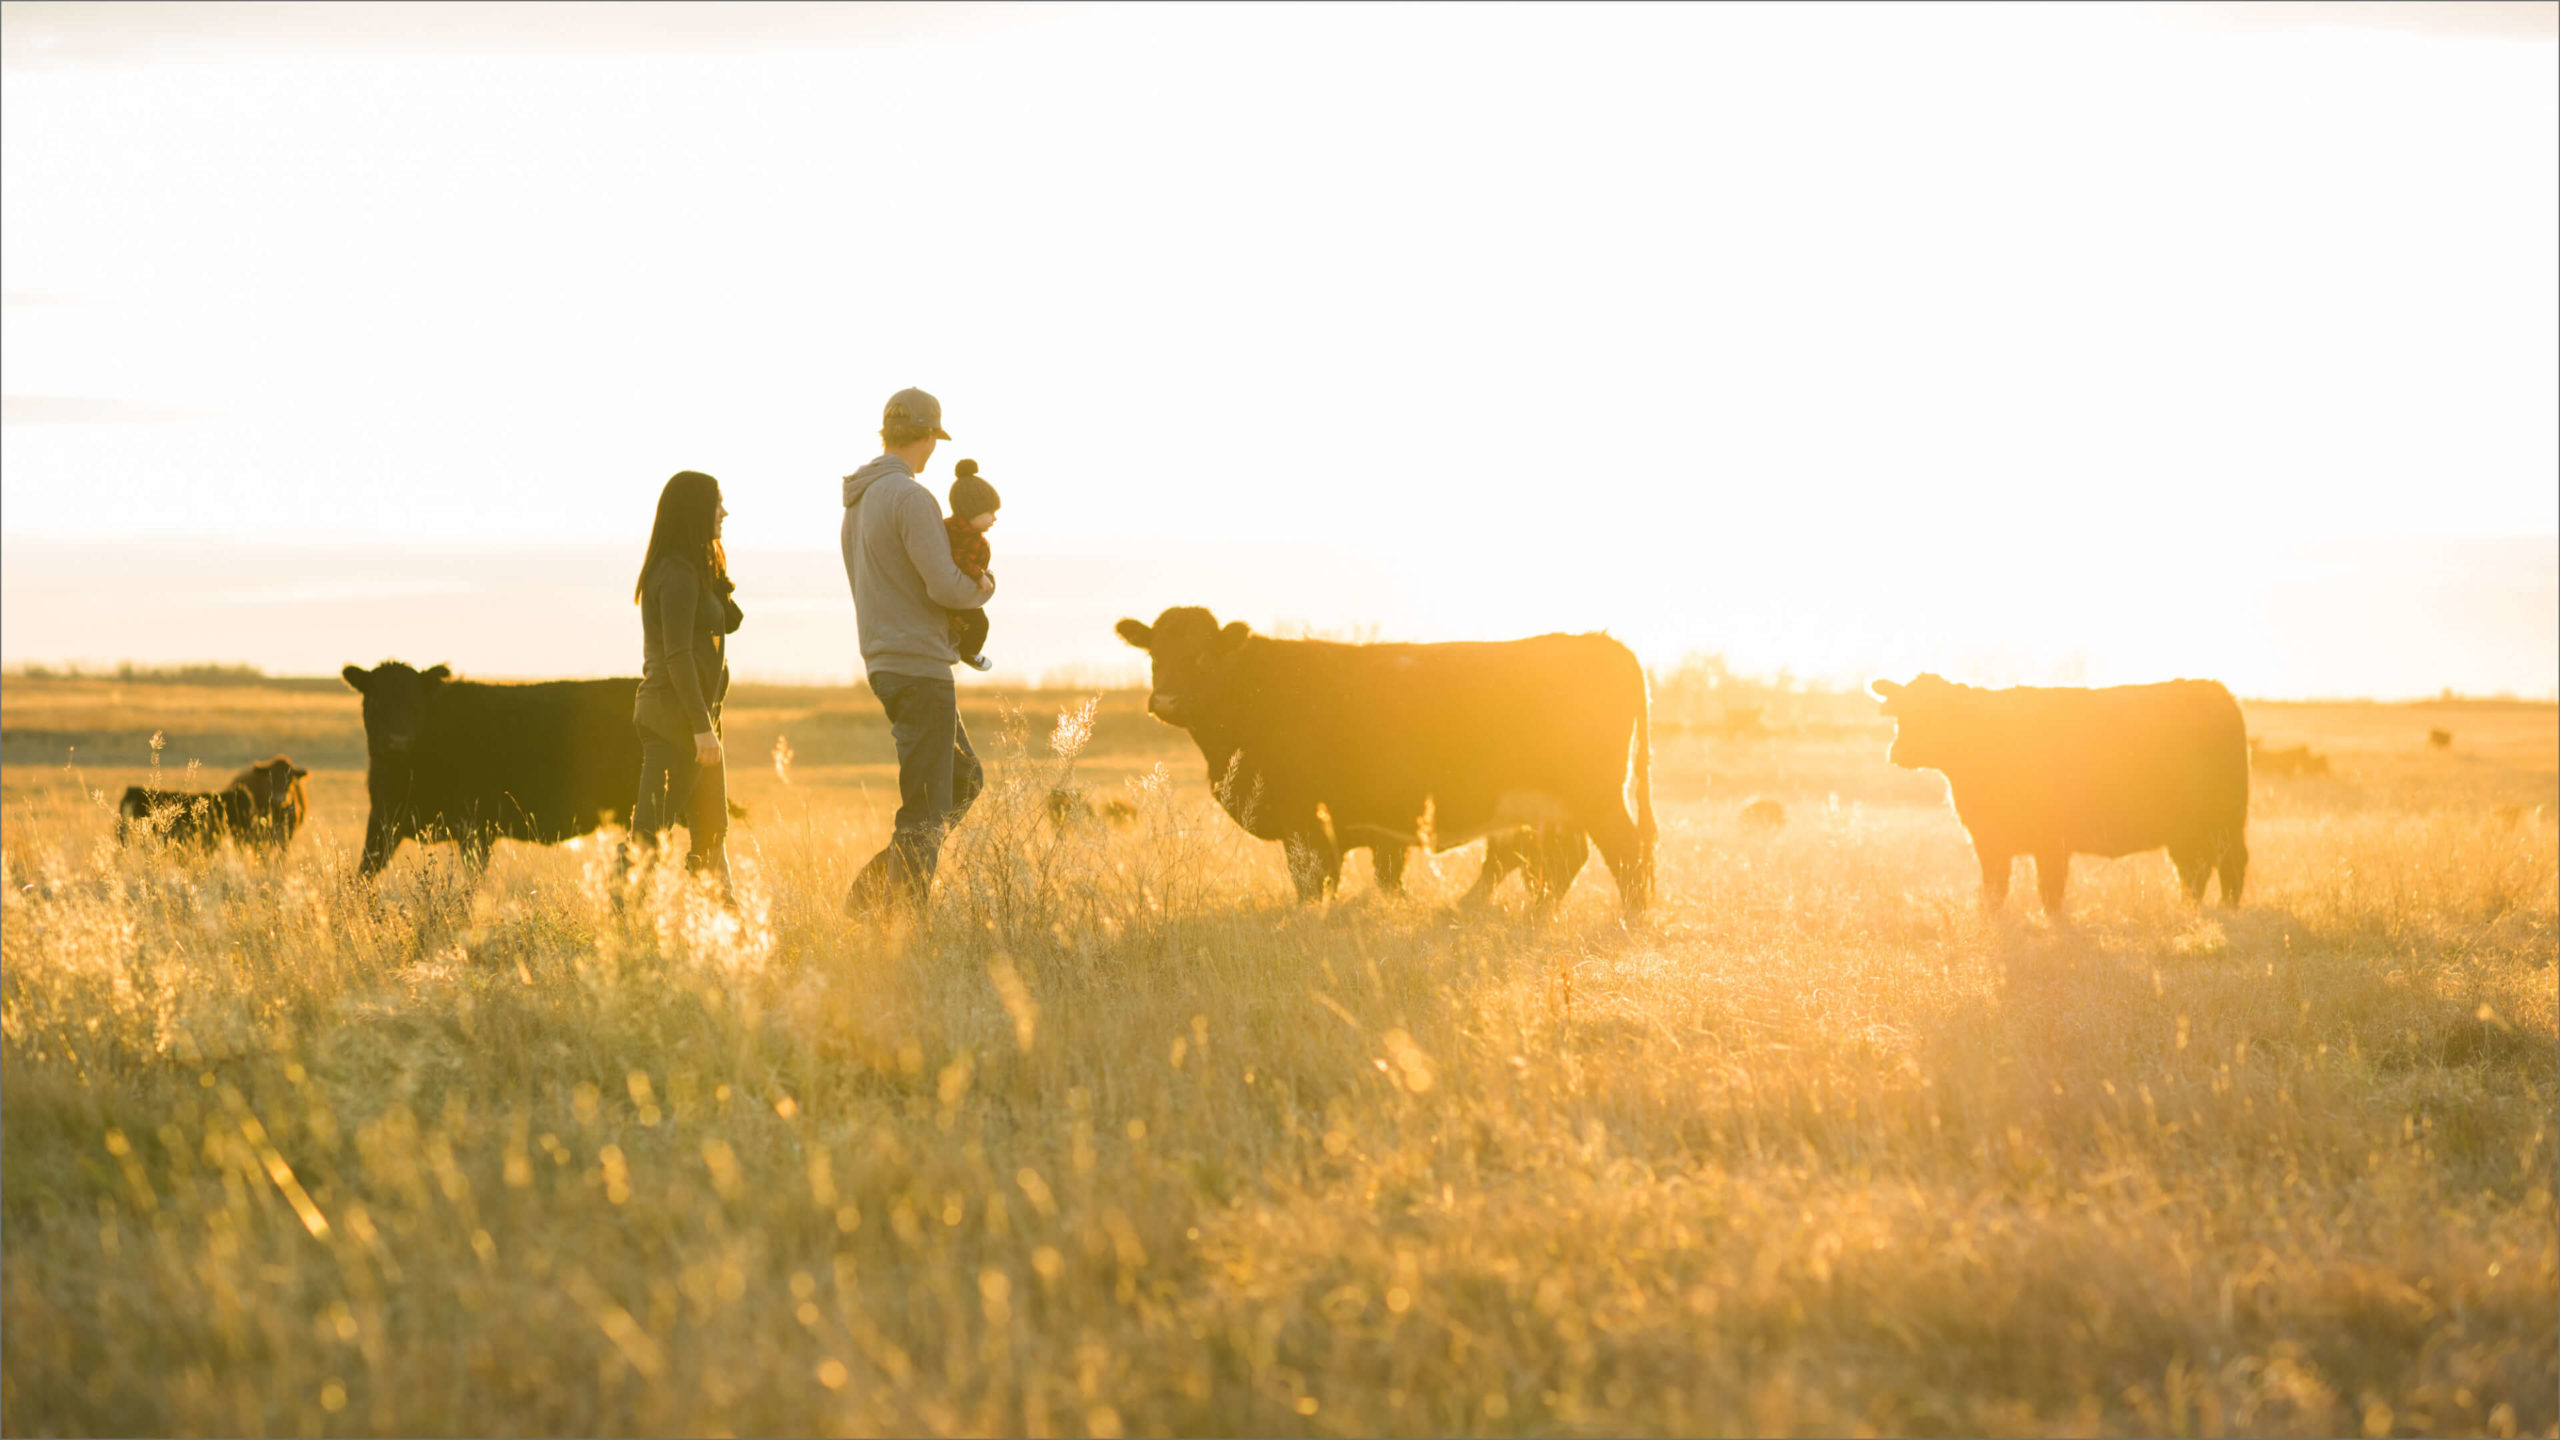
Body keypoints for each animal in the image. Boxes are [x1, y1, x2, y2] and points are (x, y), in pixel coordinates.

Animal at [1121, 604, 1658, 907]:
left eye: (1201, 656)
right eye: (1155, 655)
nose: (1165, 701)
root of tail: (1602, 642)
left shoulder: (1306, 826)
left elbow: (1313, 884)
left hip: (1596, 797)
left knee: (1624, 853)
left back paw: (1628, 922)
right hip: (1556, 807)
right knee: (1564, 860)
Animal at [1873, 666, 2252, 912]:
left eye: (1936, 713)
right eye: (1902, 712)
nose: (1898, 751)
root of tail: (2216, 690)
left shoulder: (2051, 841)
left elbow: (2049, 890)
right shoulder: (1988, 841)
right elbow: (1995, 889)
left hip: (2223, 821)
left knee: (2229, 863)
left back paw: (2226, 909)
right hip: (2186, 831)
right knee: (2194, 869)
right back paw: (2188, 909)